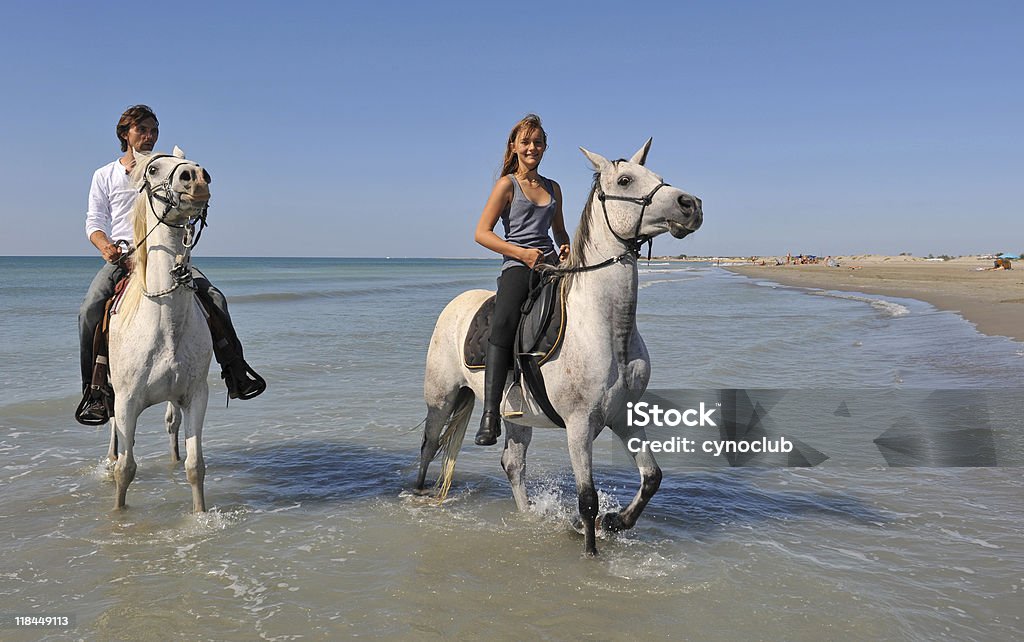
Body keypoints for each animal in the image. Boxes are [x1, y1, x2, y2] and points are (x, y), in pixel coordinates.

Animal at [105, 145, 214, 511]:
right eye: (153, 169)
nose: (196, 177)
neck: (165, 325)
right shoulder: (126, 401)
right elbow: (126, 469)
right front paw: (118, 514)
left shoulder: (195, 395)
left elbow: (196, 466)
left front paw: (199, 515)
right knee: (114, 433)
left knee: (171, 424)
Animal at [413, 140, 696, 557]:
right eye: (625, 180)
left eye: (658, 177)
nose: (691, 204)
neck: (605, 327)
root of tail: (456, 304)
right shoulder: (579, 424)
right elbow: (587, 497)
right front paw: (592, 552)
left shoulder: (623, 416)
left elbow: (652, 477)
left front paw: (615, 522)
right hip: (442, 398)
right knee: (430, 446)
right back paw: (416, 497)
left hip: (515, 416)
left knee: (512, 463)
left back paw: (529, 516)